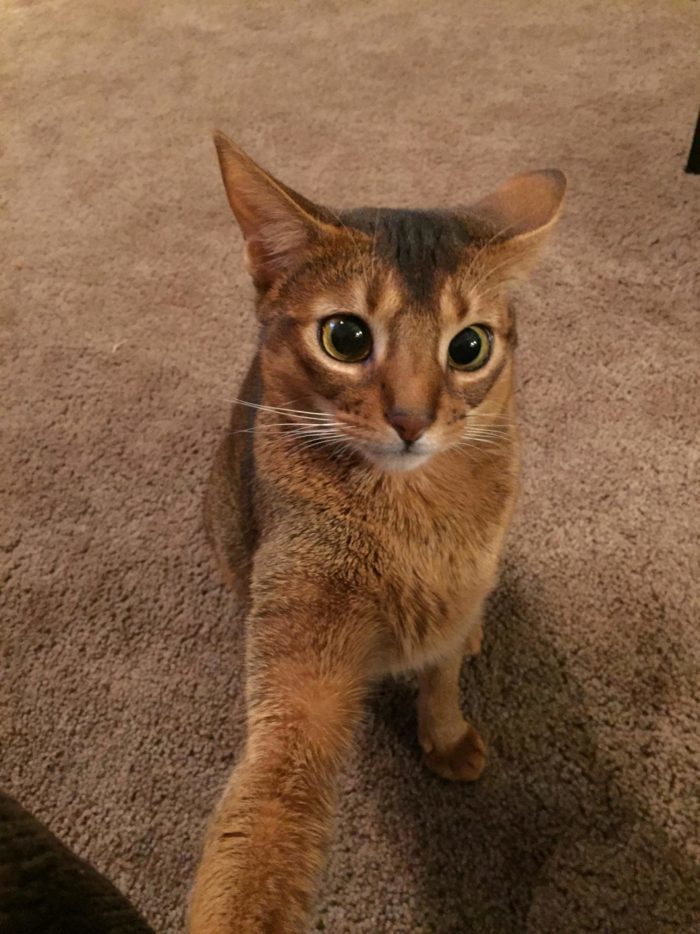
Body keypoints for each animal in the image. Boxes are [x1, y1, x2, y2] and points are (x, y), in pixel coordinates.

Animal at [189, 133, 568, 934]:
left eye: (469, 347)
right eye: (346, 336)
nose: (412, 419)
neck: (412, 517)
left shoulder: (465, 578)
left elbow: (444, 674)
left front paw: (447, 735)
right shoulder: (299, 664)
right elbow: (268, 801)